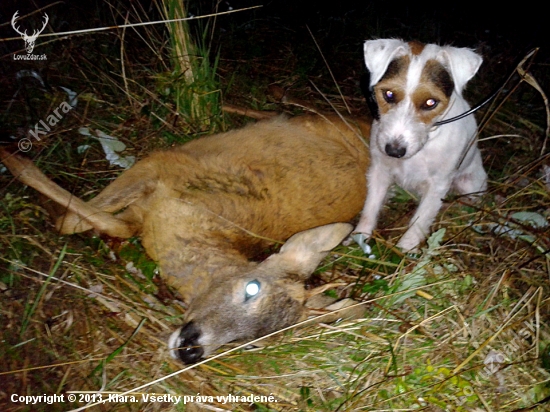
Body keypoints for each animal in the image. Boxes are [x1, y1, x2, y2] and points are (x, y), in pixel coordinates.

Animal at [1, 113, 370, 364]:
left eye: (253, 341)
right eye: (252, 287)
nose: (191, 349)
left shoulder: (152, 200)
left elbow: (100, 224)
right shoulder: (164, 165)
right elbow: (73, 219)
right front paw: (13, 158)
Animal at [356, 39, 490, 251]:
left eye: (430, 102)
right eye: (389, 94)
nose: (394, 151)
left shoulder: (438, 185)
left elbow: (419, 222)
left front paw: (403, 251)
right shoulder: (379, 171)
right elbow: (370, 208)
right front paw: (358, 238)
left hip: (470, 184)